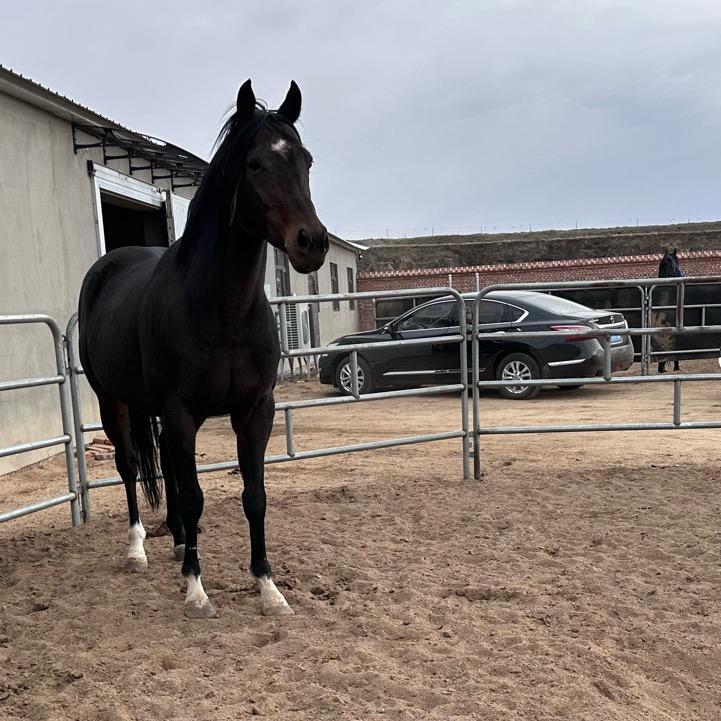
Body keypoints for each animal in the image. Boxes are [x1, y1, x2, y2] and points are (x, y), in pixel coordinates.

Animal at [78, 80, 329, 619]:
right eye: (254, 163)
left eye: (306, 160)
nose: (312, 242)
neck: (222, 310)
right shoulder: (180, 411)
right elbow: (194, 496)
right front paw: (196, 590)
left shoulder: (256, 410)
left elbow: (254, 495)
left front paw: (268, 588)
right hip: (116, 403)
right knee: (131, 468)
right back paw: (138, 549)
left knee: (167, 468)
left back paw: (176, 541)